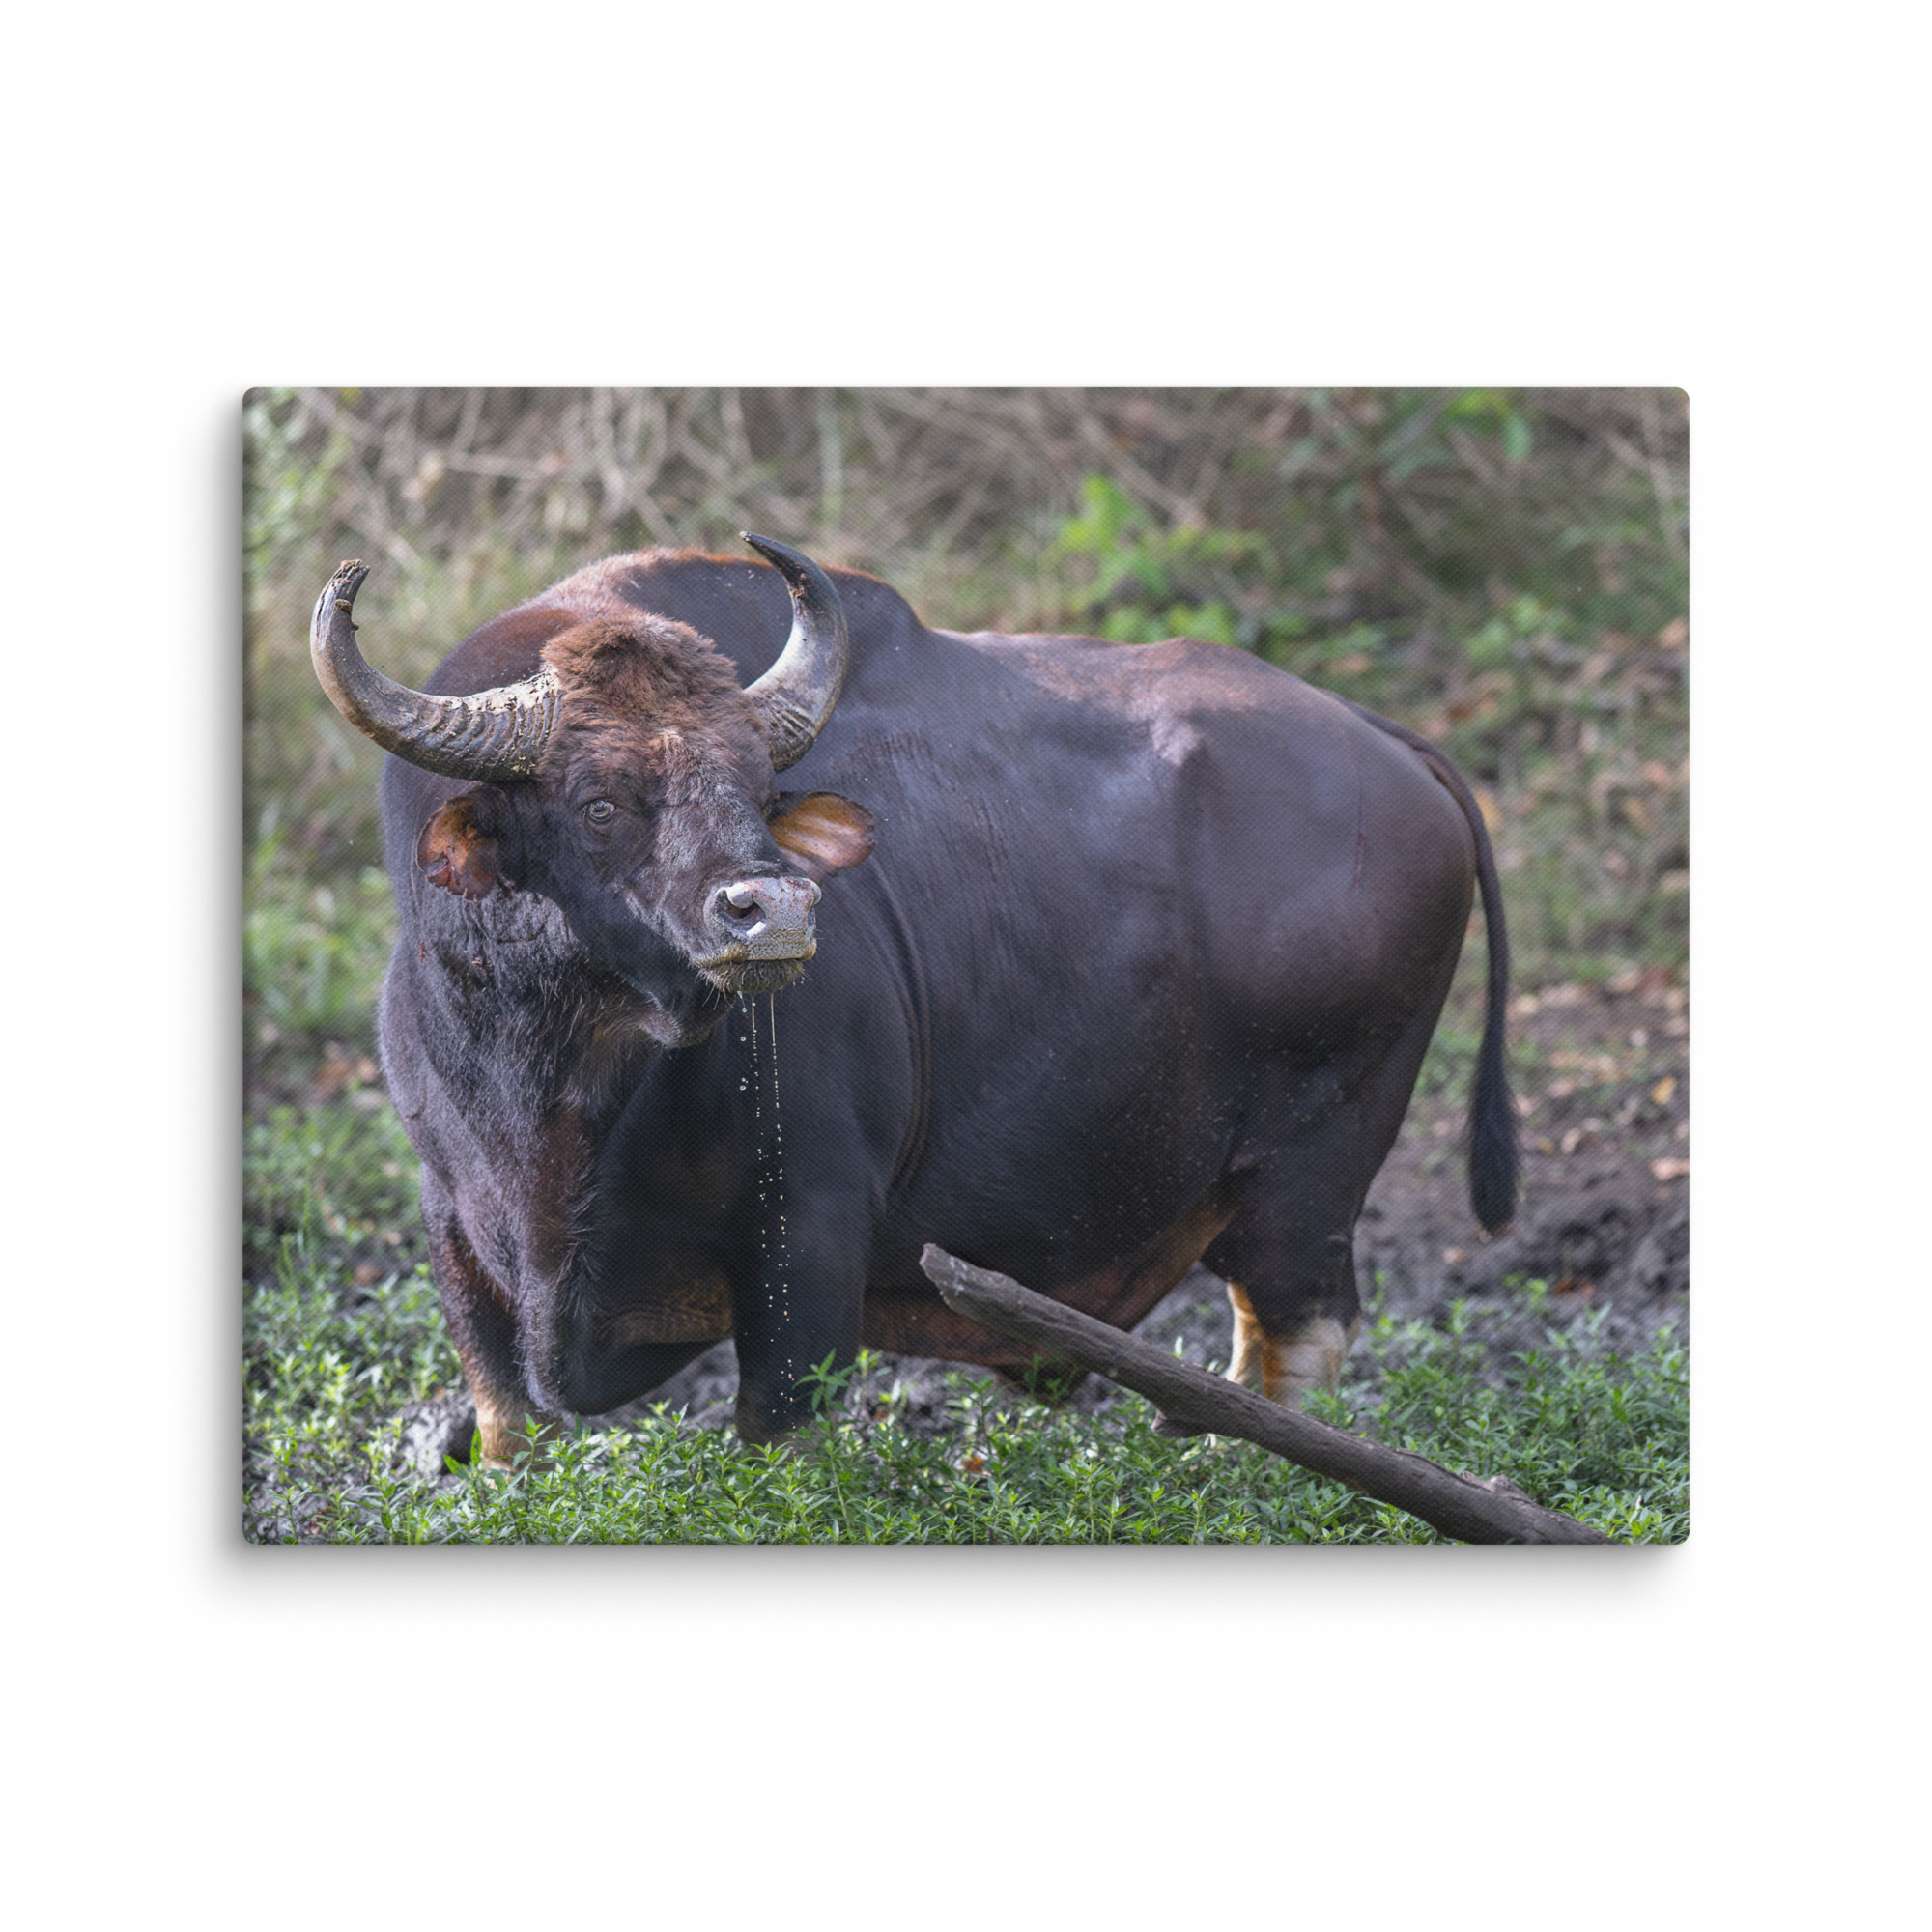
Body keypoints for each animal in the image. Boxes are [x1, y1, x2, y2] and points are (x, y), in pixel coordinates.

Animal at [310, 535, 1516, 1460]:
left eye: (753, 785)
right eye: (600, 800)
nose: (772, 911)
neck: (562, 1093)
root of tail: (1391, 746)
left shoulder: (809, 1235)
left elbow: (781, 1438)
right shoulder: (454, 1231)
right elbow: (507, 1425)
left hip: (1313, 1171)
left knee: (1297, 1335)